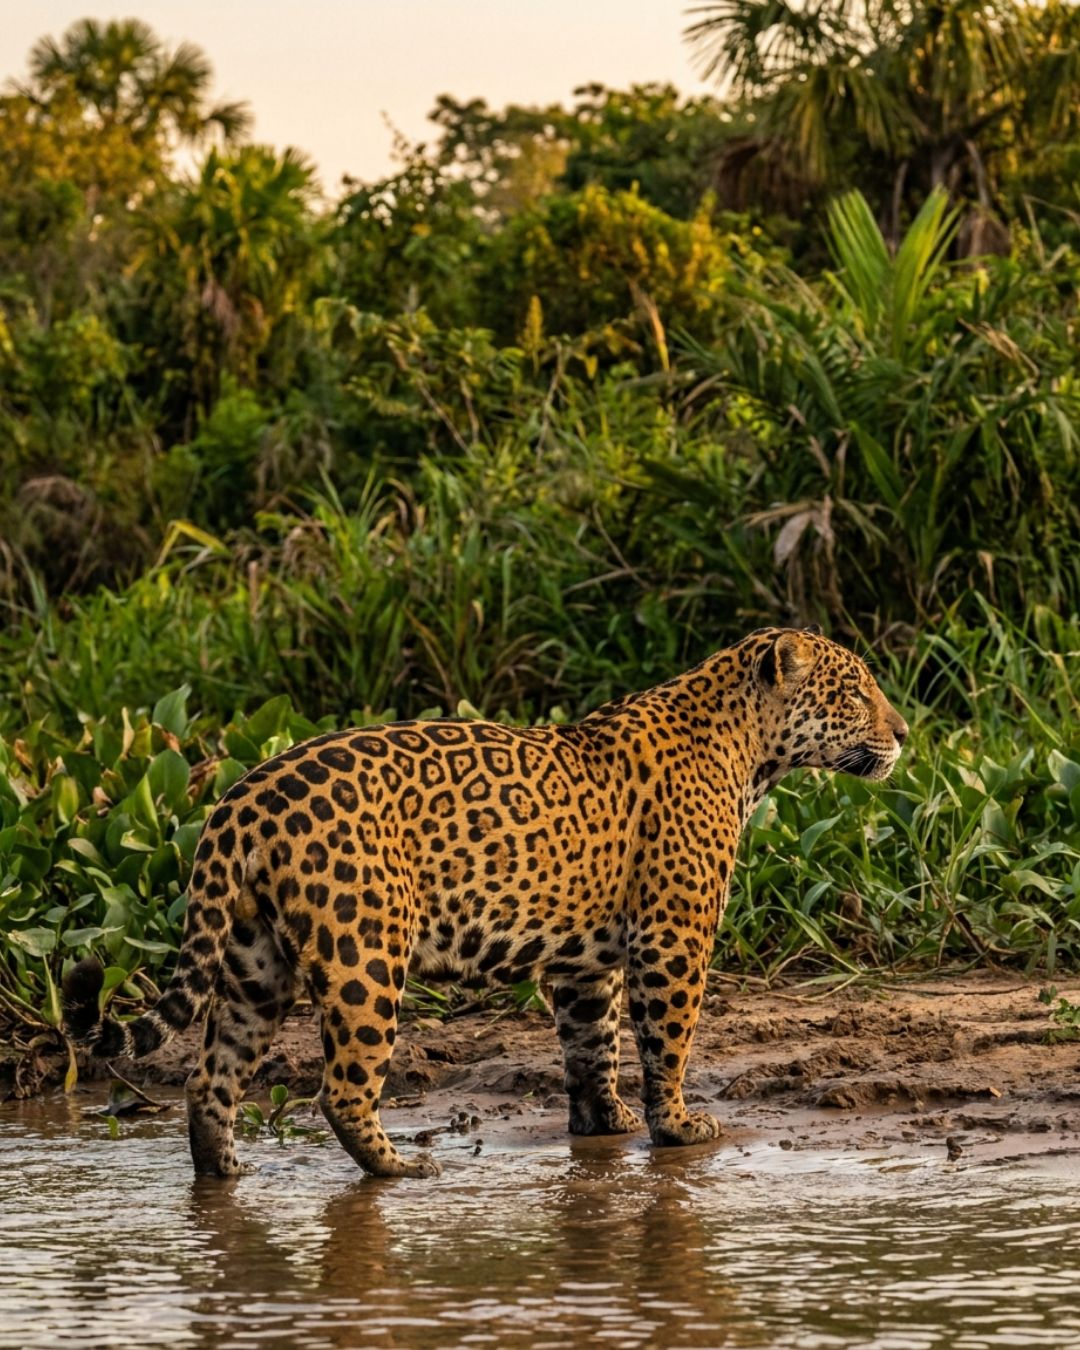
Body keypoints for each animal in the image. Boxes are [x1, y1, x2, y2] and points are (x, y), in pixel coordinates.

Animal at [63, 625, 908, 1179]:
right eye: (855, 691)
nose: (904, 732)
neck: (747, 751)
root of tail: (238, 799)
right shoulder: (675, 938)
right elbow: (667, 1040)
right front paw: (676, 1126)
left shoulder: (586, 959)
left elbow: (591, 1044)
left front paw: (605, 1123)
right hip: (365, 956)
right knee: (341, 1087)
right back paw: (399, 1170)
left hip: (252, 961)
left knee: (210, 1080)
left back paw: (225, 1176)